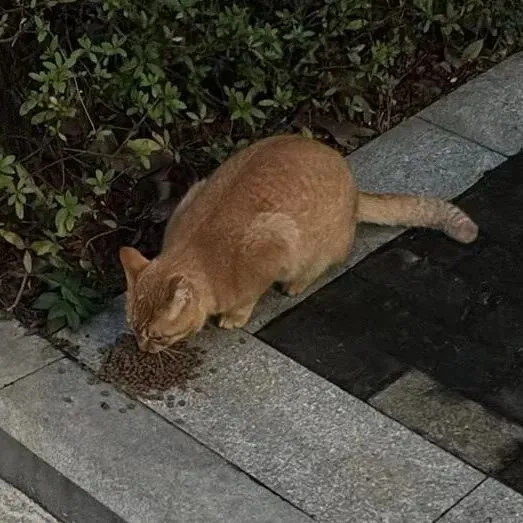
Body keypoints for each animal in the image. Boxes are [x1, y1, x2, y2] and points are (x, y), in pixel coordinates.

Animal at [119, 134, 478, 353]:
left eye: (156, 335)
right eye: (133, 327)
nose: (141, 347)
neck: (203, 254)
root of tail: (355, 192)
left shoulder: (274, 244)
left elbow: (248, 297)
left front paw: (235, 316)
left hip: (316, 249)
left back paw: (295, 284)